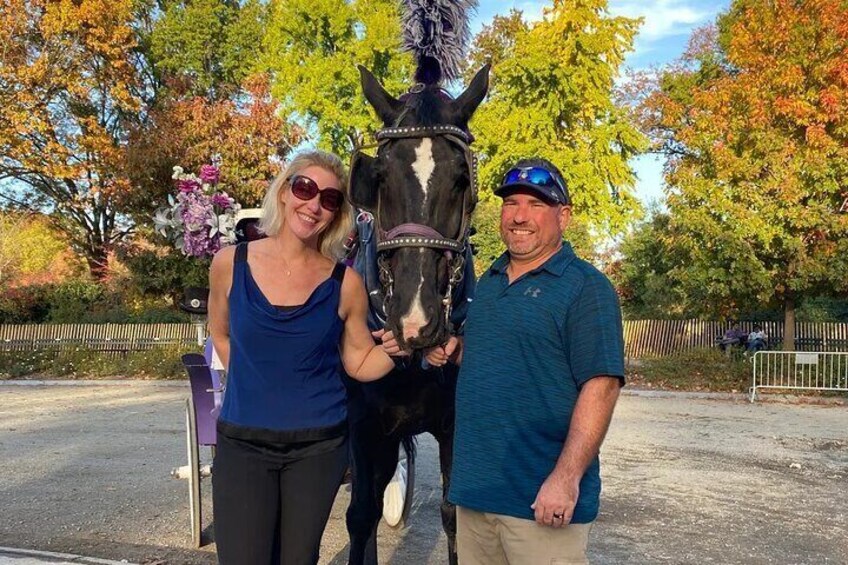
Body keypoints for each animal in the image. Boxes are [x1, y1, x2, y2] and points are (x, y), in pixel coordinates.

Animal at [346, 64, 490, 564]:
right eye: (380, 177)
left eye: (462, 180)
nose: (415, 321)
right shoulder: (366, 428)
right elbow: (360, 516)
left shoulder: (456, 427)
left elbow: (454, 517)